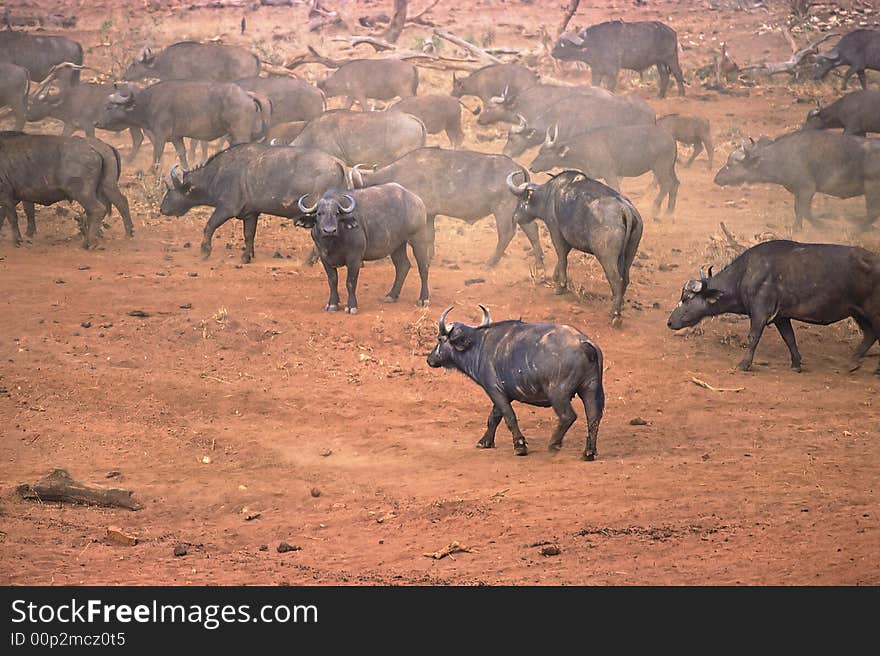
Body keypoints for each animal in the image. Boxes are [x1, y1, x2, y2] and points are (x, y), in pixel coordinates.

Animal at [298, 183, 432, 314]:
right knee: (403, 266)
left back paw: (423, 299)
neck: (332, 243)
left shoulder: (354, 259)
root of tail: (417, 201)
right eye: (319, 214)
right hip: (397, 245)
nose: (329, 230)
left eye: (337, 213)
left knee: (423, 268)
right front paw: (332, 304)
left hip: (418, 239)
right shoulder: (324, 258)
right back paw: (392, 296)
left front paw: (351, 306)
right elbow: (332, 281)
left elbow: (350, 282)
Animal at [426, 308, 604, 462]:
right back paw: (588, 452)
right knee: (593, 417)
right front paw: (485, 441)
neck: (478, 345)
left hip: (557, 393)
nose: (429, 359)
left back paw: (554, 444)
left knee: (568, 416)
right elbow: (494, 417)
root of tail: (584, 342)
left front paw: (520, 446)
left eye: (439, 339)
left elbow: (509, 416)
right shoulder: (505, 393)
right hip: (590, 388)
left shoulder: (494, 390)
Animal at [506, 168, 644, 324]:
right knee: (625, 279)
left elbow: (562, 257)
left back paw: (615, 314)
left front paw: (560, 287)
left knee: (616, 280)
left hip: (606, 257)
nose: (514, 217)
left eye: (521, 200)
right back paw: (619, 304)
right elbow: (563, 257)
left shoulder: (556, 233)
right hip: (629, 254)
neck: (549, 195)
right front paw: (555, 277)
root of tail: (625, 209)